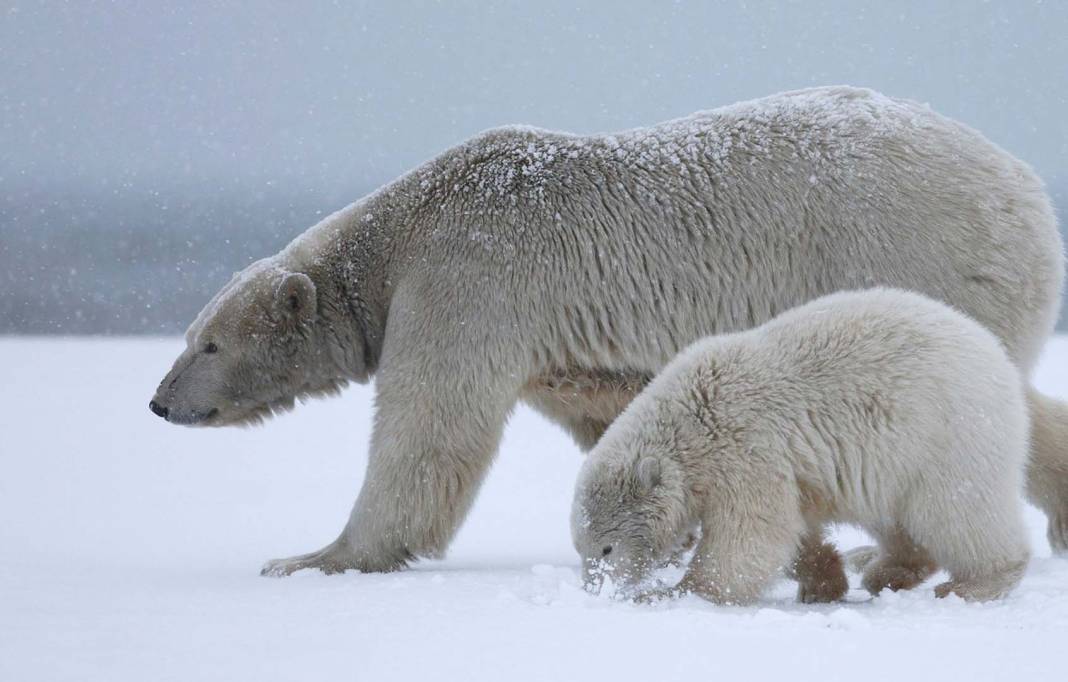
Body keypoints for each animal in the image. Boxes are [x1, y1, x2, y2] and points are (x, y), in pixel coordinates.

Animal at [150, 85, 1068, 576]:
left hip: (920, 254)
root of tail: (1024, 185)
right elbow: (611, 418)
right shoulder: (556, 344)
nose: (159, 401)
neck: (405, 230)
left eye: (207, 343)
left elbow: (430, 432)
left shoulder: (466, 280)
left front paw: (315, 555)